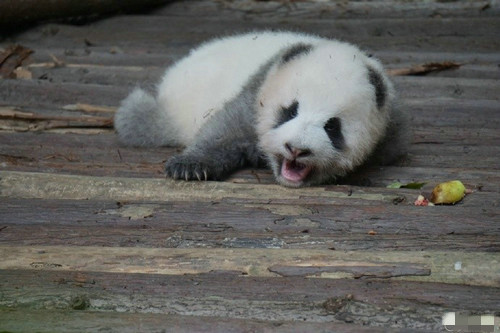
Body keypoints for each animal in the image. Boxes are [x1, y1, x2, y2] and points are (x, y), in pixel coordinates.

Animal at [114, 30, 410, 187]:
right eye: (290, 111)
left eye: (332, 127)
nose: (297, 149)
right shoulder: (258, 87)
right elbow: (225, 128)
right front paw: (189, 167)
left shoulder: (391, 124)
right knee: (139, 119)